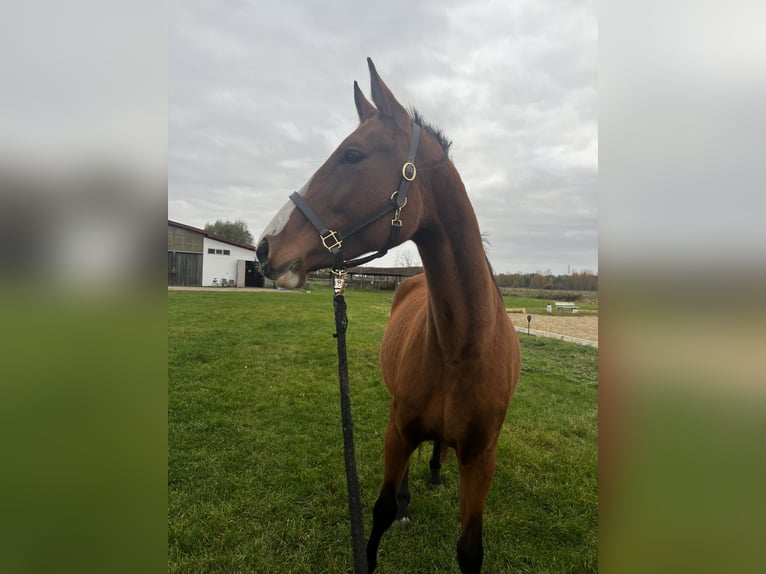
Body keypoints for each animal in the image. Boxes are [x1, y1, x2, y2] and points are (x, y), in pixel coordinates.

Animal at [258, 59, 520, 574]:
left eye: (353, 155)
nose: (264, 247)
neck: (461, 346)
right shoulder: (397, 431)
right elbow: (377, 512)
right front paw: (394, 509)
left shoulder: (482, 457)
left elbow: (470, 549)